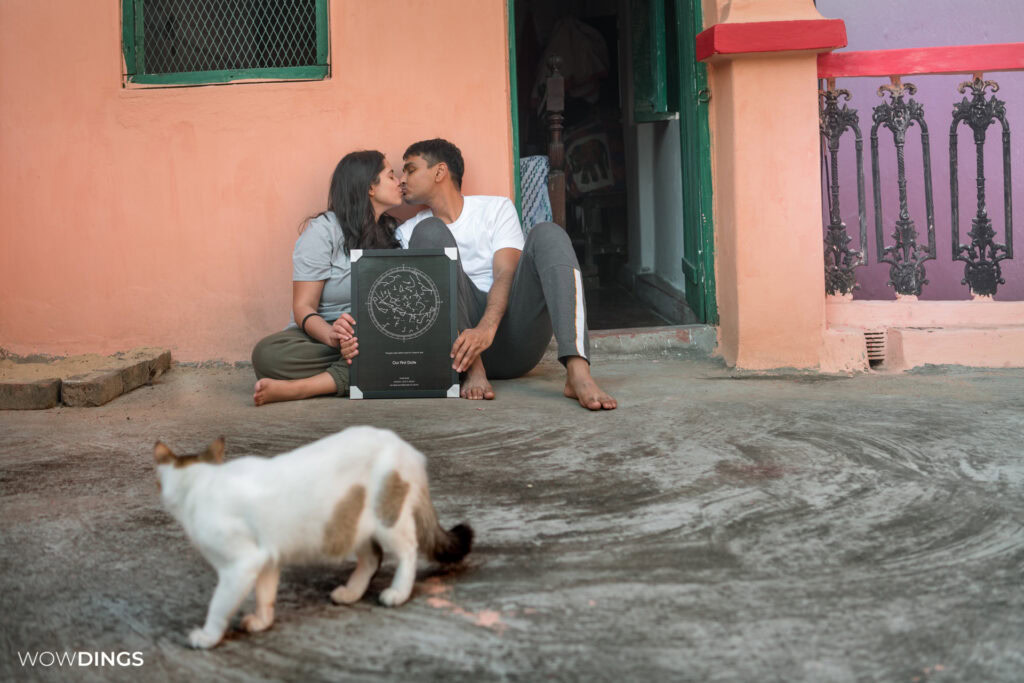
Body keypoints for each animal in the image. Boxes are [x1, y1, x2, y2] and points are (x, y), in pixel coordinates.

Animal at [153, 428, 473, 651]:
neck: (204, 480)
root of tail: (408, 449)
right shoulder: (266, 559)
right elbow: (265, 594)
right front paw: (262, 621)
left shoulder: (241, 565)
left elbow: (219, 605)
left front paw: (208, 637)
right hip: (350, 523)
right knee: (373, 557)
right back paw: (350, 593)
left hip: (387, 518)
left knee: (408, 550)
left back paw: (397, 593)